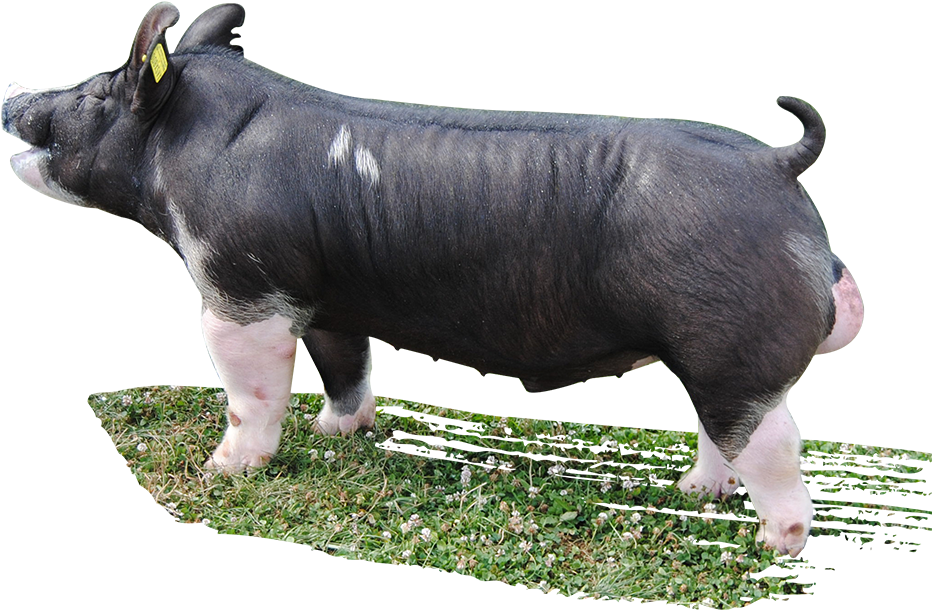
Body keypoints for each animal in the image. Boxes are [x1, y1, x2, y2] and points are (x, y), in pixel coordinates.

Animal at [1, 2, 863, 558]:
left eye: (96, 90)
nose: (11, 92)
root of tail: (775, 165)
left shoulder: (239, 289)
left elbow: (250, 390)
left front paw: (223, 472)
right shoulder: (326, 294)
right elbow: (344, 362)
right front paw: (336, 433)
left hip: (733, 341)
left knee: (773, 439)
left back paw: (776, 545)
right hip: (709, 352)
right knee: (721, 429)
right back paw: (696, 492)